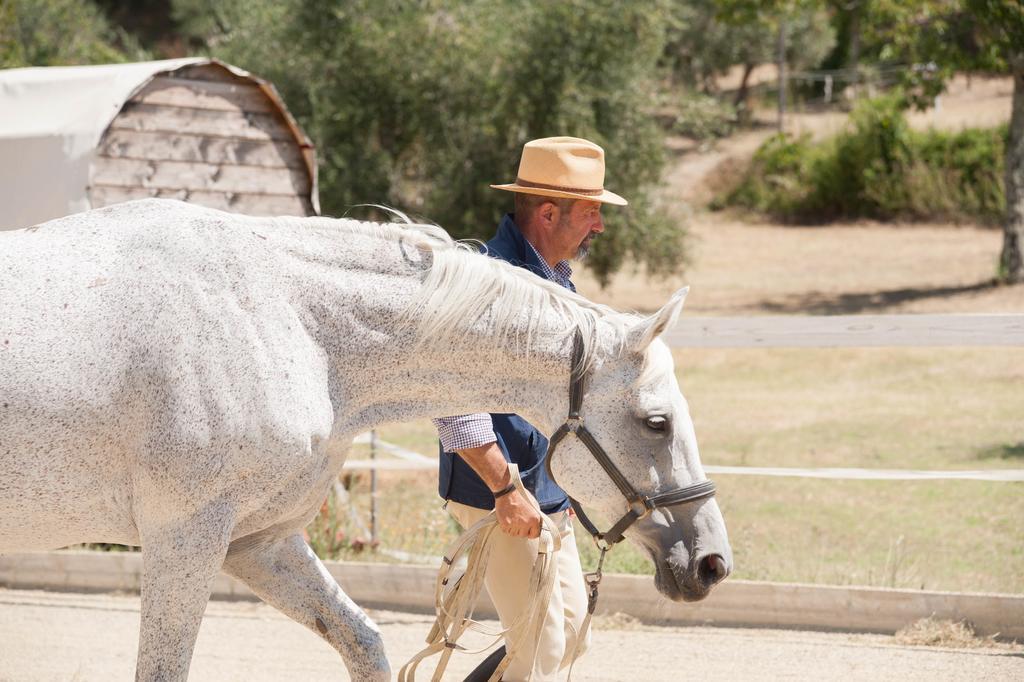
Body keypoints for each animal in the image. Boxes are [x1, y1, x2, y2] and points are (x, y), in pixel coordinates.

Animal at [2, 199, 737, 675]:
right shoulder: (185, 538)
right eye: (657, 422)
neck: (286, 318)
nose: (711, 562)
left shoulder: (257, 543)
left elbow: (363, 640)